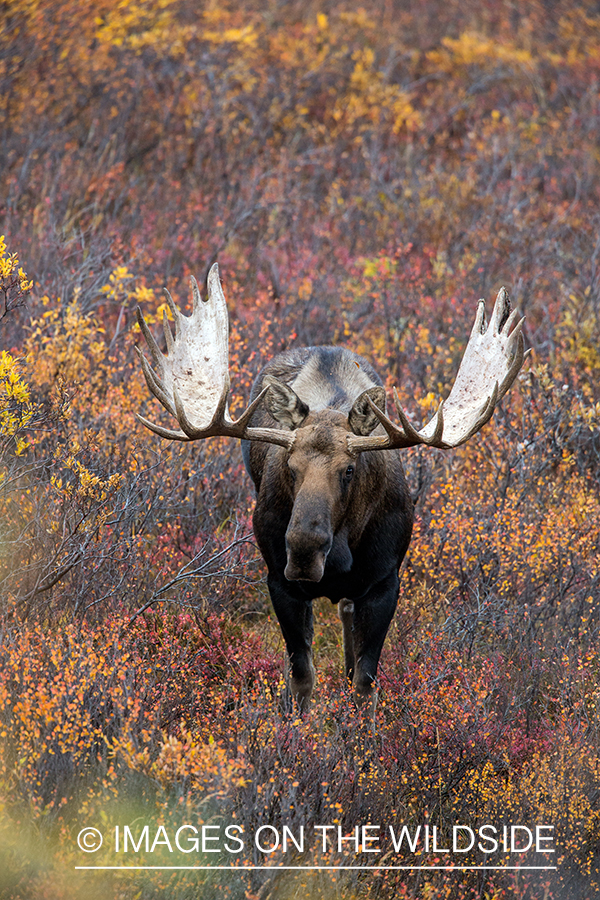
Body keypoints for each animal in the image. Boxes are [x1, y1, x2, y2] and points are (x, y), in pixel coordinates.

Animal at [137, 266, 524, 712]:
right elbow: (301, 676)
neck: (342, 552)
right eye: (290, 466)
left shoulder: (385, 583)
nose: (304, 550)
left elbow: (365, 681)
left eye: (349, 469)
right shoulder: (280, 581)